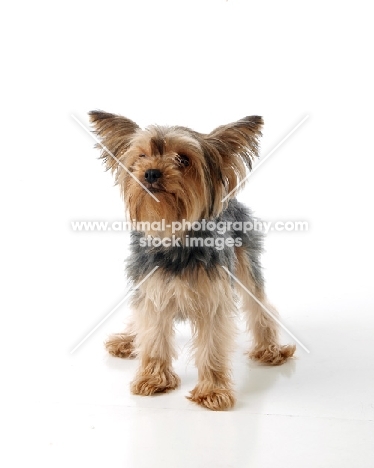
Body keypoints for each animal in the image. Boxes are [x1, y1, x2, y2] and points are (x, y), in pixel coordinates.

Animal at [88, 110, 296, 410]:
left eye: (183, 159)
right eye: (141, 156)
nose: (150, 172)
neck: (174, 235)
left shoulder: (214, 297)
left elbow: (212, 345)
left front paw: (213, 390)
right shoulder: (152, 289)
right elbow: (152, 333)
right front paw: (153, 378)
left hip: (246, 262)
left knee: (259, 305)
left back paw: (270, 349)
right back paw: (128, 340)